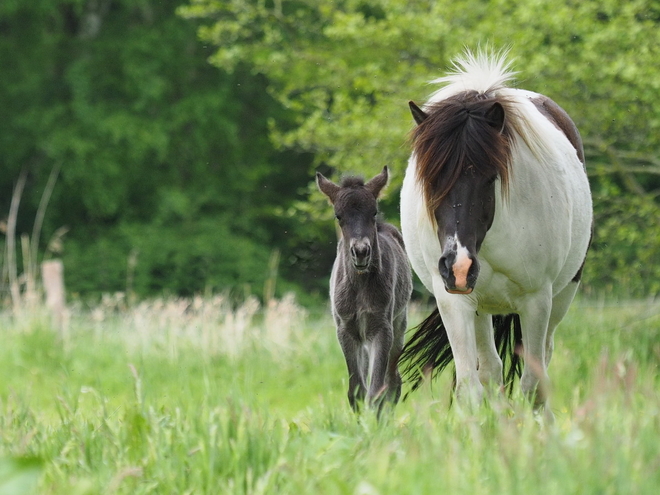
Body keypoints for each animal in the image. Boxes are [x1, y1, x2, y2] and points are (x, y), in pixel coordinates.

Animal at [316, 168, 412, 414]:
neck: (359, 287)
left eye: (374, 212)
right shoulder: (346, 330)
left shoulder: (383, 329)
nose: (360, 252)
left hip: (398, 327)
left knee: (393, 381)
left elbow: (377, 391)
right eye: (338, 216)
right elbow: (356, 390)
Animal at [398, 51, 592, 418]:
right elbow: (470, 385)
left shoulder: (537, 302)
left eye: (490, 177)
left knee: (541, 360)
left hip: (561, 298)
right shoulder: (453, 300)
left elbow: (533, 385)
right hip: (479, 306)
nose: (458, 267)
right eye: (430, 180)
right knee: (490, 369)